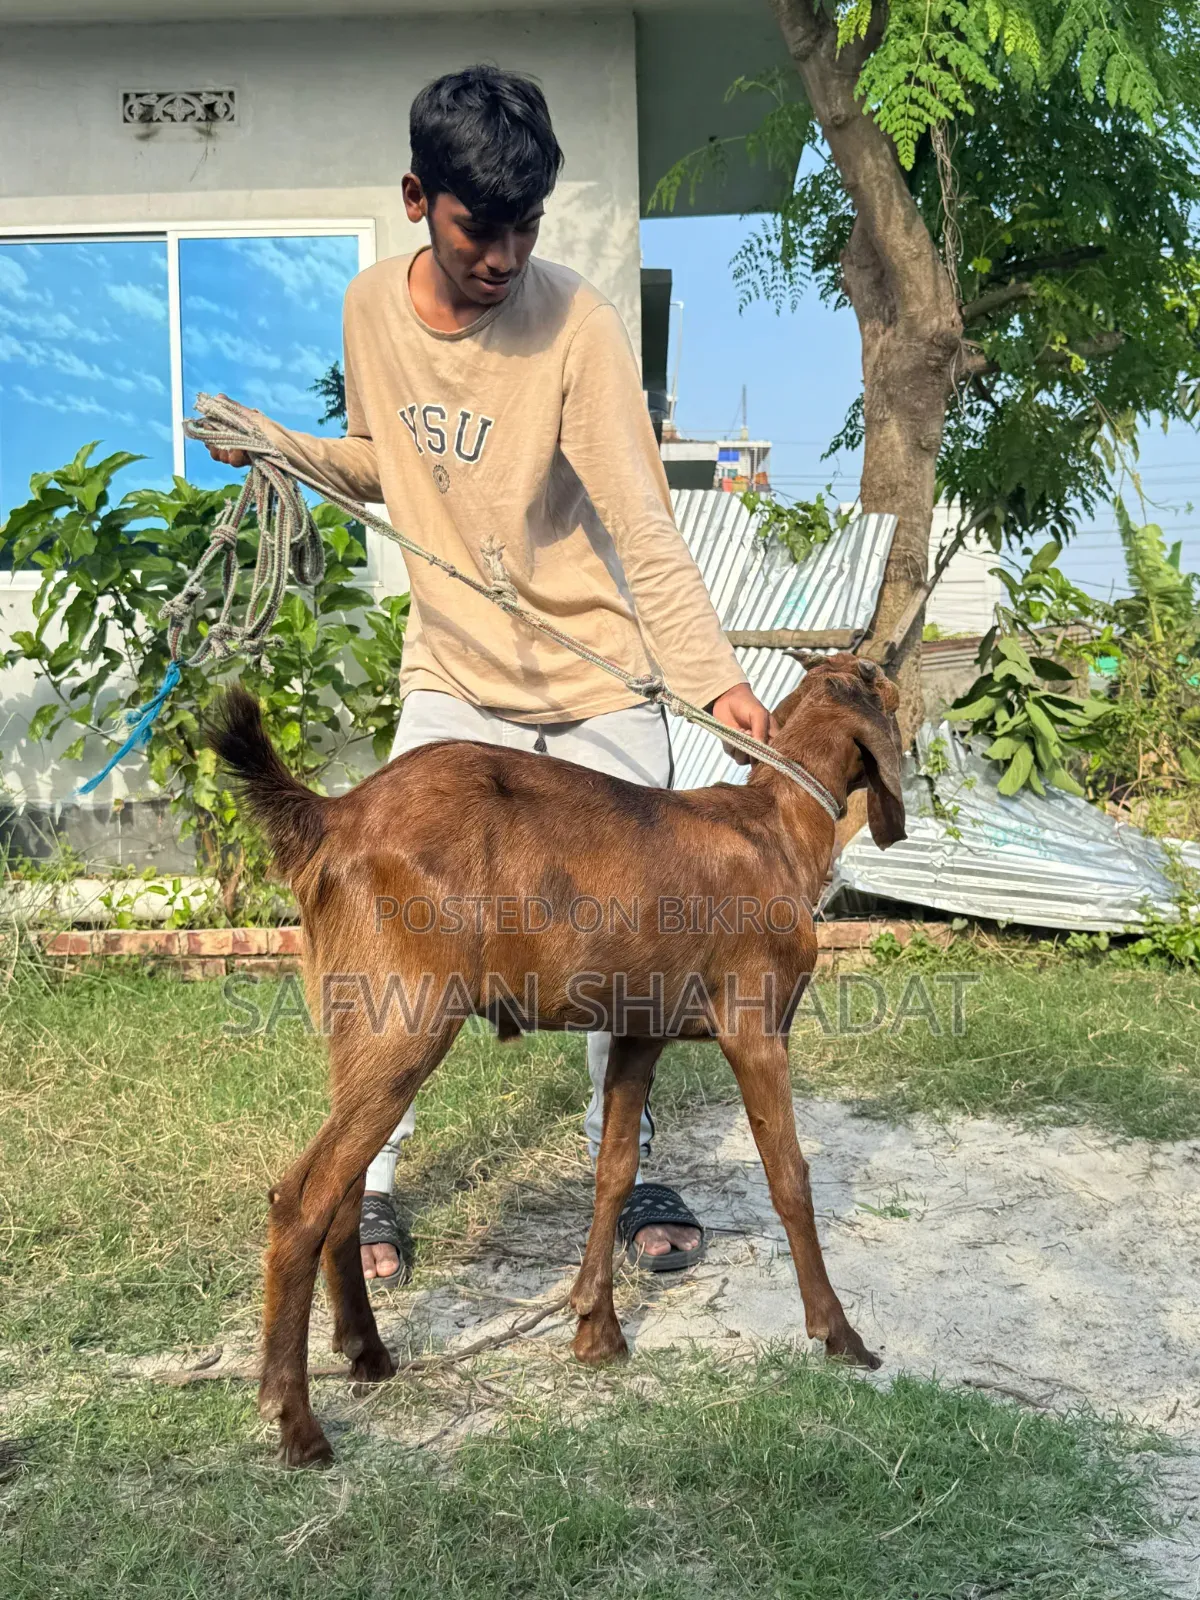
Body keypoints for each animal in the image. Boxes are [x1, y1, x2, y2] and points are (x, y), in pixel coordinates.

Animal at [208, 652, 907, 1466]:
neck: (778, 823)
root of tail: (335, 816)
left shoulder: (639, 1029)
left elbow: (614, 1168)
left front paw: (596, 1329)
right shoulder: (756, 1027)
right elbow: (790, 1178)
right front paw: (840, 1335)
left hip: (360, 1031)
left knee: (343, 1193)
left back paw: (368, 1355)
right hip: (404, 1022)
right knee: (302, 1199)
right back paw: (296, 1420)